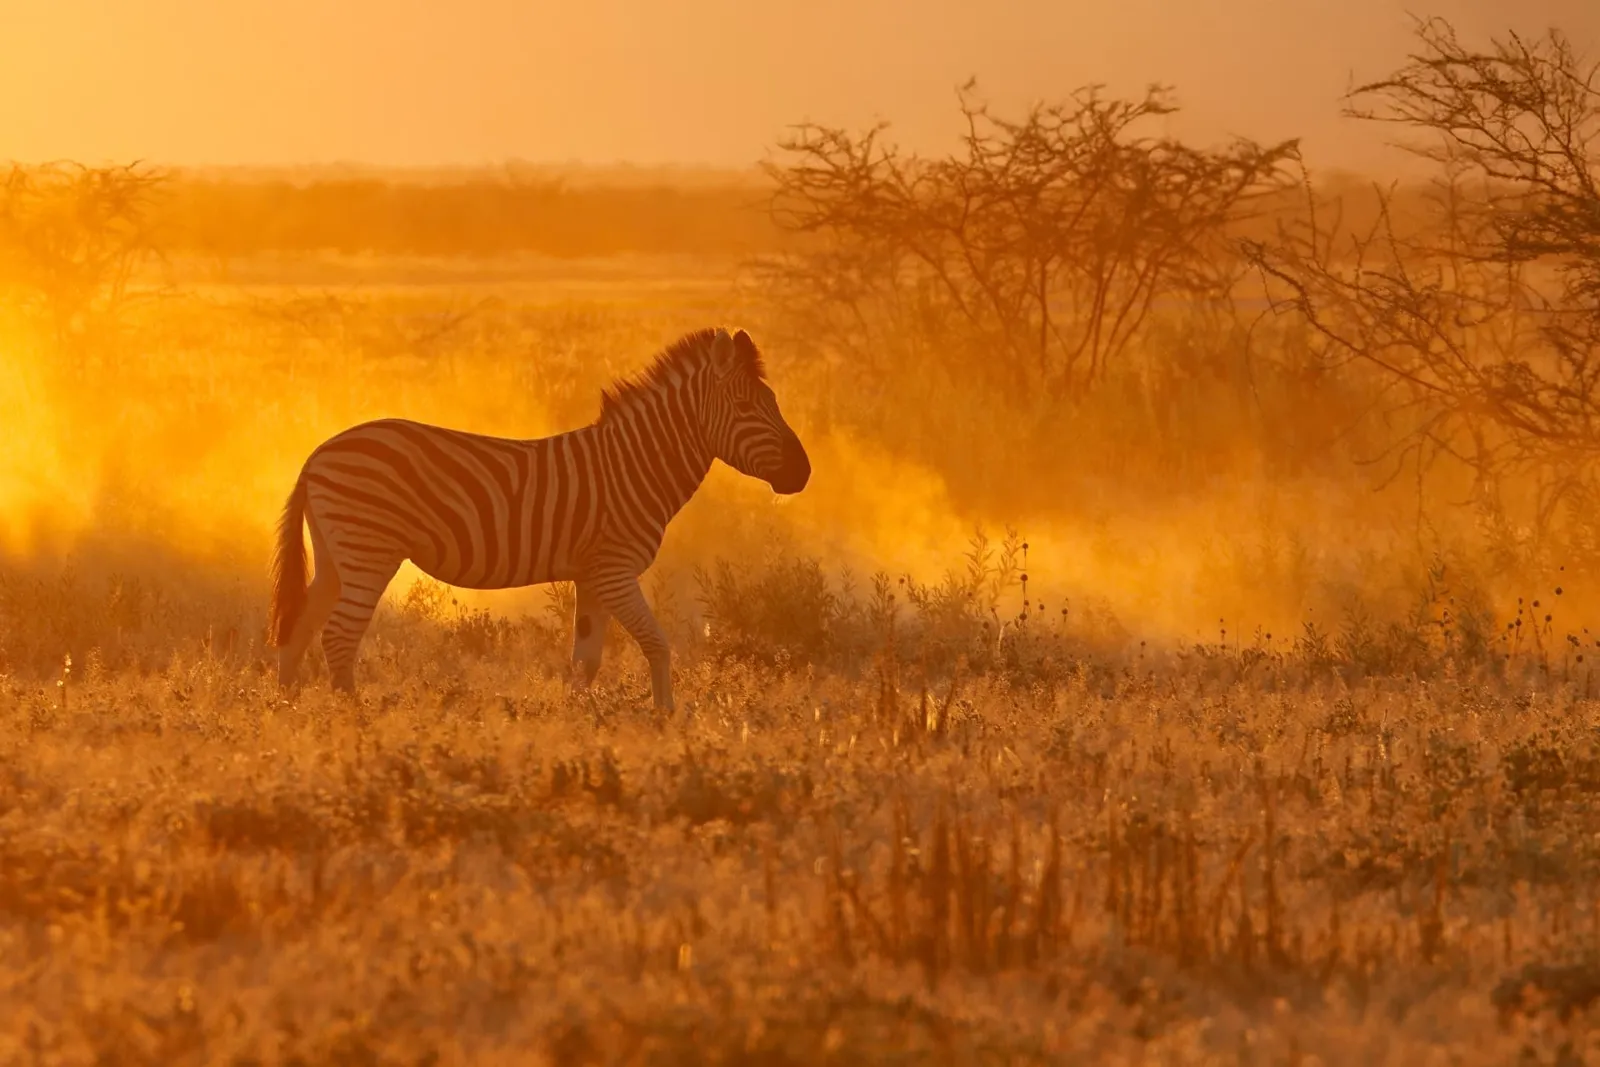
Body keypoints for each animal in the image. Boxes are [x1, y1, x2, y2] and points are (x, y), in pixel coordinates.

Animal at [265, 325, 810, 711]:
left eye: (773, 402)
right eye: (746, 406)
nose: (803, 472)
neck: (635, 465)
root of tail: (317, 454)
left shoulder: (592, 576)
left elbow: (585, 660)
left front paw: (579, 721)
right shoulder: (615, 570)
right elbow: (657, 643)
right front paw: (666, 718)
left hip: (336, 555)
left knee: (298, 630)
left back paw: (289, 715)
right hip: (369, 551)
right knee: (338, 636)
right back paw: (353, 719)